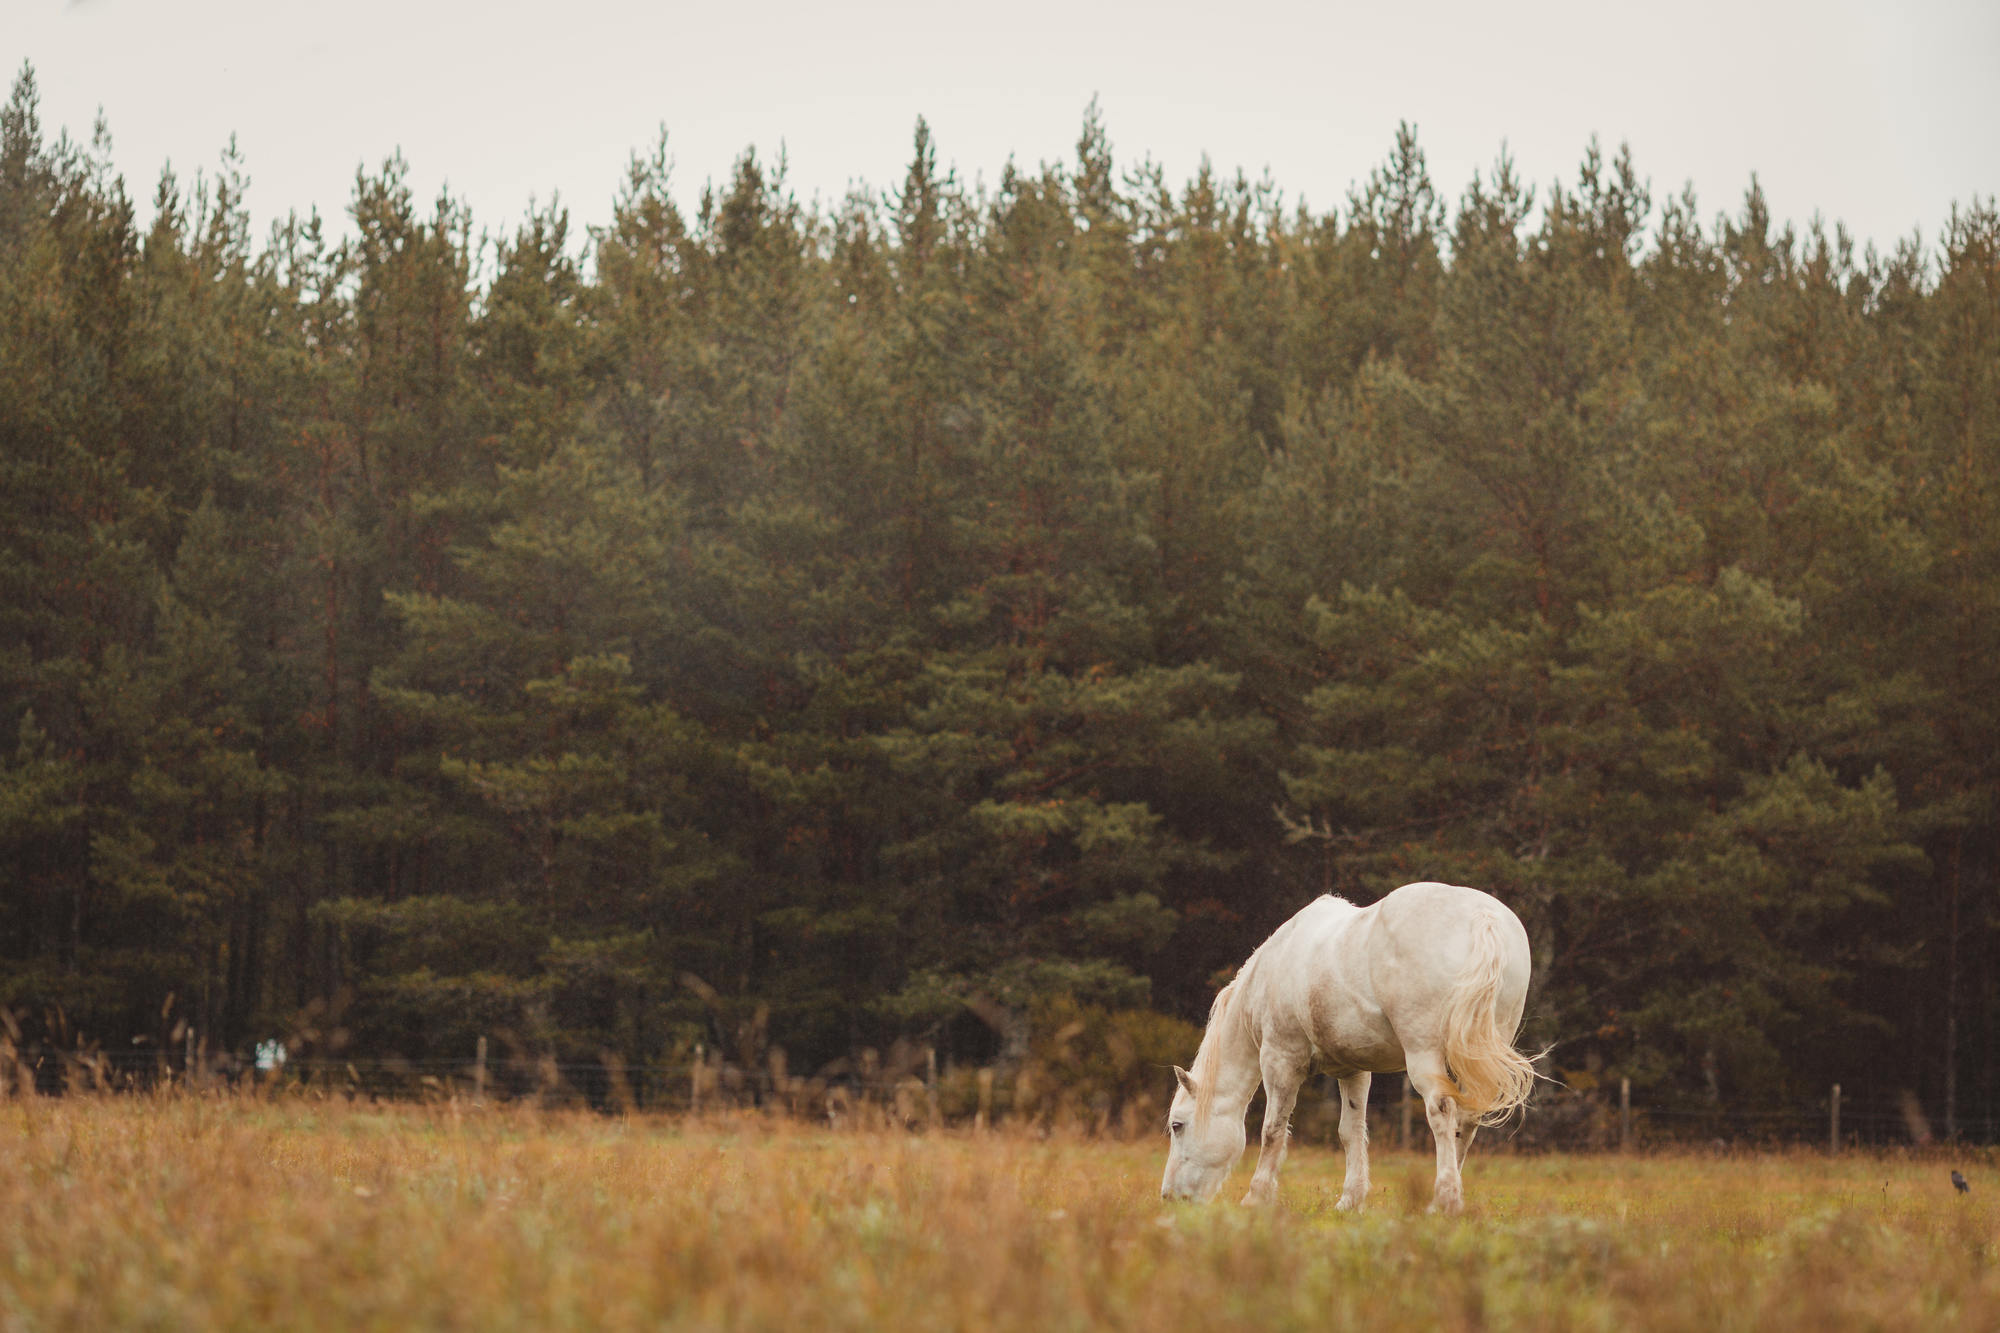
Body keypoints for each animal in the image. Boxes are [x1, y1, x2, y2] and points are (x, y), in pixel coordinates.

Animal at [1160, 880, 1528, 1216]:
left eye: (1177, 1125)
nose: (1168, 1197)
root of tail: (1482, 918)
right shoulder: (1353, 1070)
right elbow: (1350, 1132)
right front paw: (1350, 1200)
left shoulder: (1280, 1062)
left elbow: (1272, 1131)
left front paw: (1256, 1197)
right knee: (1466, 1121)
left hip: (1425, 1057)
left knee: (1443, 1112)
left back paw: (1443, 1200)